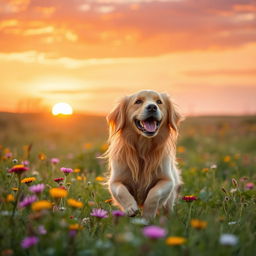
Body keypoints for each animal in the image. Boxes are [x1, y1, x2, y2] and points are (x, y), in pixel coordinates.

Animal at [105, 89, 183, 218]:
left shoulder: (168, 180)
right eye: (138, 101)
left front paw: (148, 214)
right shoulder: (115, 180)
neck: (143, 148)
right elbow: (121, 190)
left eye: (159, 102)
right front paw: (131, 207)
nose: (152, 107)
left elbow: (154, 193)